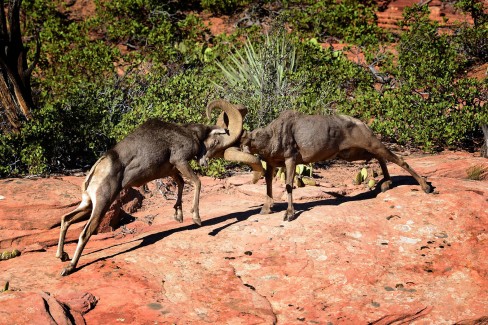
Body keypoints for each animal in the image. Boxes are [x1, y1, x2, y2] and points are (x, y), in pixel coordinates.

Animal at [56, 102, 243, 274]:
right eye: (216, 141)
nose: (205, 163)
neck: (190, 134)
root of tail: (98, 167)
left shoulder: (171, 169)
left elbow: (181, 184)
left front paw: (178, 215)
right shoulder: (180, 161)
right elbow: (197, 183)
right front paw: (196, 218)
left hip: (88, 204)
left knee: (66, 219)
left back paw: (62, 256)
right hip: (102, 205)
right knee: (84, 233)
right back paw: (69, 268)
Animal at [205, 105, 430, 220]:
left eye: (217, 141)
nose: (204, 157)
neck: (271, 136)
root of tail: (363, 124)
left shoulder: (290, 160)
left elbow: (289, 185)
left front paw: (289, 215)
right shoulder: (272, 164)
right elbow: (268, 185)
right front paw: (266, 209)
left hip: (371, 144)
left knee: (398, 159)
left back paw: (425, 187)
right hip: (353, 154)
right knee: (381, 158)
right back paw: (386, 184)